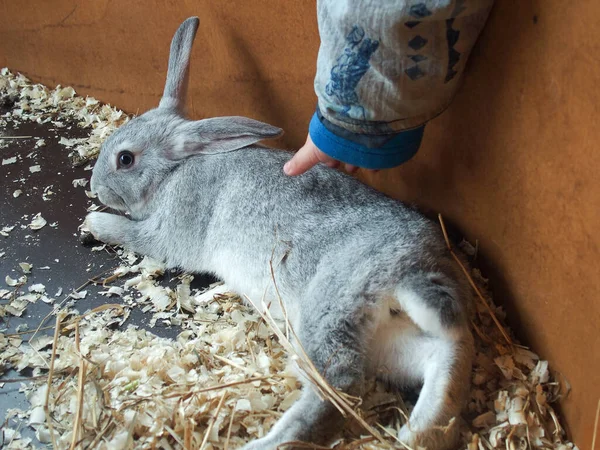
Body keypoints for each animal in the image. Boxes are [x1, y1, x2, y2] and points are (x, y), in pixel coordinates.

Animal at [84, 16, 476, 450]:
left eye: (125, 159)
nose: (94, 188)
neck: (177, 169)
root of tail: (412, 267)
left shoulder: (168, 231)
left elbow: (135, 234)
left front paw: (93, 223)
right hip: (384, 338)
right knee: (443, 356)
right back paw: (423, 432)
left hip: (328, 310)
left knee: (337, 385)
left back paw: (266, 444)